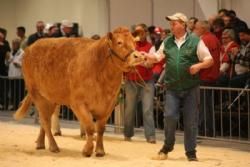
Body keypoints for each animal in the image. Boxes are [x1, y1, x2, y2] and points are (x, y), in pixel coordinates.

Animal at [13, 27, 146, 157]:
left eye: (135, 42)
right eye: (119, 42)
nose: (138, 56)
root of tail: (30, 47)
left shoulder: (109, 105)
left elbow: (100, 129)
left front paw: (100, 151)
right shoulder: (78, 103)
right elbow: (90, 127)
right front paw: (87, 150)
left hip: (51, 98)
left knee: (45, 120)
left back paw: (40, 144)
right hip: (37, 94)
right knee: (45, 121)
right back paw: (53, 146)